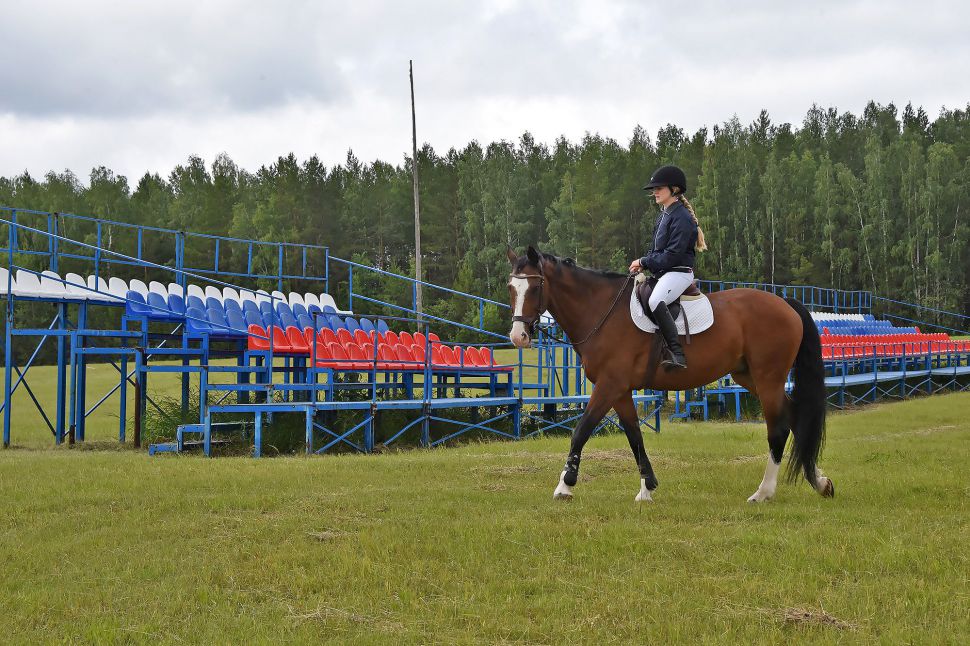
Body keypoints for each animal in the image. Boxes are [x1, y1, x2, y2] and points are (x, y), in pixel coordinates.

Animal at [506, 246, 834, 503]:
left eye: (534, 287)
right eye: (511, 288)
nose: (518, 336)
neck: (601, 311)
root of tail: (784, 303)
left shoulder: (609, 385)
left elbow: (581, 430)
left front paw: (565, 485)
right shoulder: (620, 390)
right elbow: (634, 436)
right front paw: (647, 488)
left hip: (768, 378)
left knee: (779, 427)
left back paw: (764, 492)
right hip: (749, 376)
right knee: (795, 417)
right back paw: (819, 482)